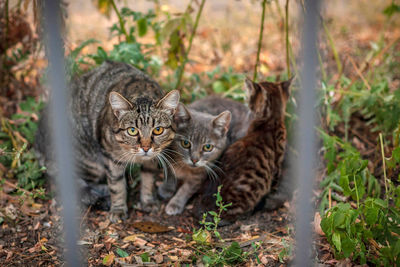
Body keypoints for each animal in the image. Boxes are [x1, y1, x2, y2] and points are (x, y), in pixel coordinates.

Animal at [35, 61, 180, 223]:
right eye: (132, 131)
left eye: (158, 130)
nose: (146, 147)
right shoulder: (110, 157)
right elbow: (117, 186)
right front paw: (118, 209)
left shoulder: (153, 158)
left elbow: (148, 179)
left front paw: (148, 201)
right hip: (90, 162)